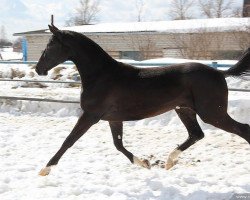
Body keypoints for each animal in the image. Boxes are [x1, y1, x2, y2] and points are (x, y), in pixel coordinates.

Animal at [36, 24, 250, 175]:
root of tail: (220, 73)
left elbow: (69, 140)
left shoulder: (90, 116)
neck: (102, 75)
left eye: (50, 45)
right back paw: (169, 162)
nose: (39, 69)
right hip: (184, 109)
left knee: (242, 129)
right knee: (196, 134)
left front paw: (45, 170)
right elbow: (118, 145)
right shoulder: (113, 118)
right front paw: (145, 164)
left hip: (212, 113)